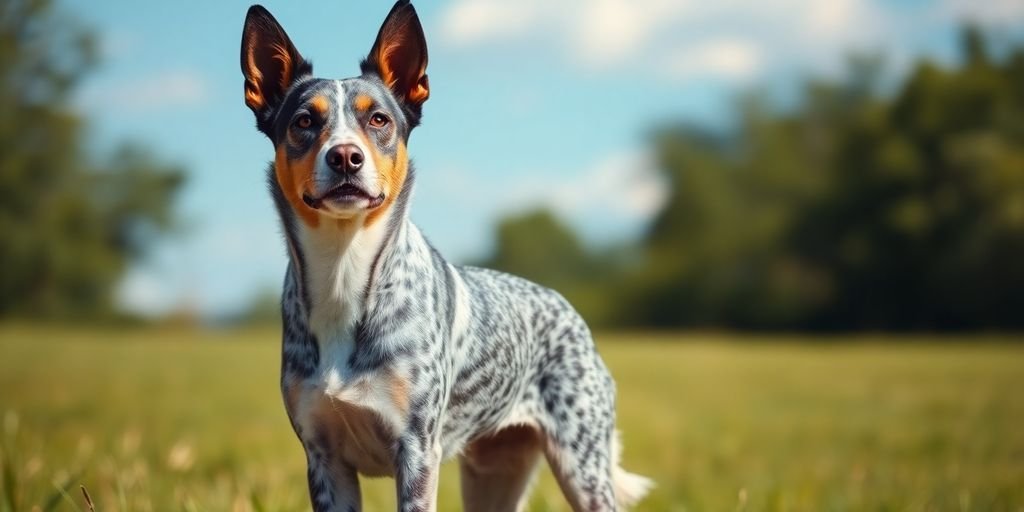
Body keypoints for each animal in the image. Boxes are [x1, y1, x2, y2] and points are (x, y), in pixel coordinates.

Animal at [239, 2, 651, 509]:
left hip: (583, 464)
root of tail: (570, 313)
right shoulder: (323, 458)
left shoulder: (417, 450)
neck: (344, 272)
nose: (345, 157)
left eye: (379, 120)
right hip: (493, 472)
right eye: (303, 122)